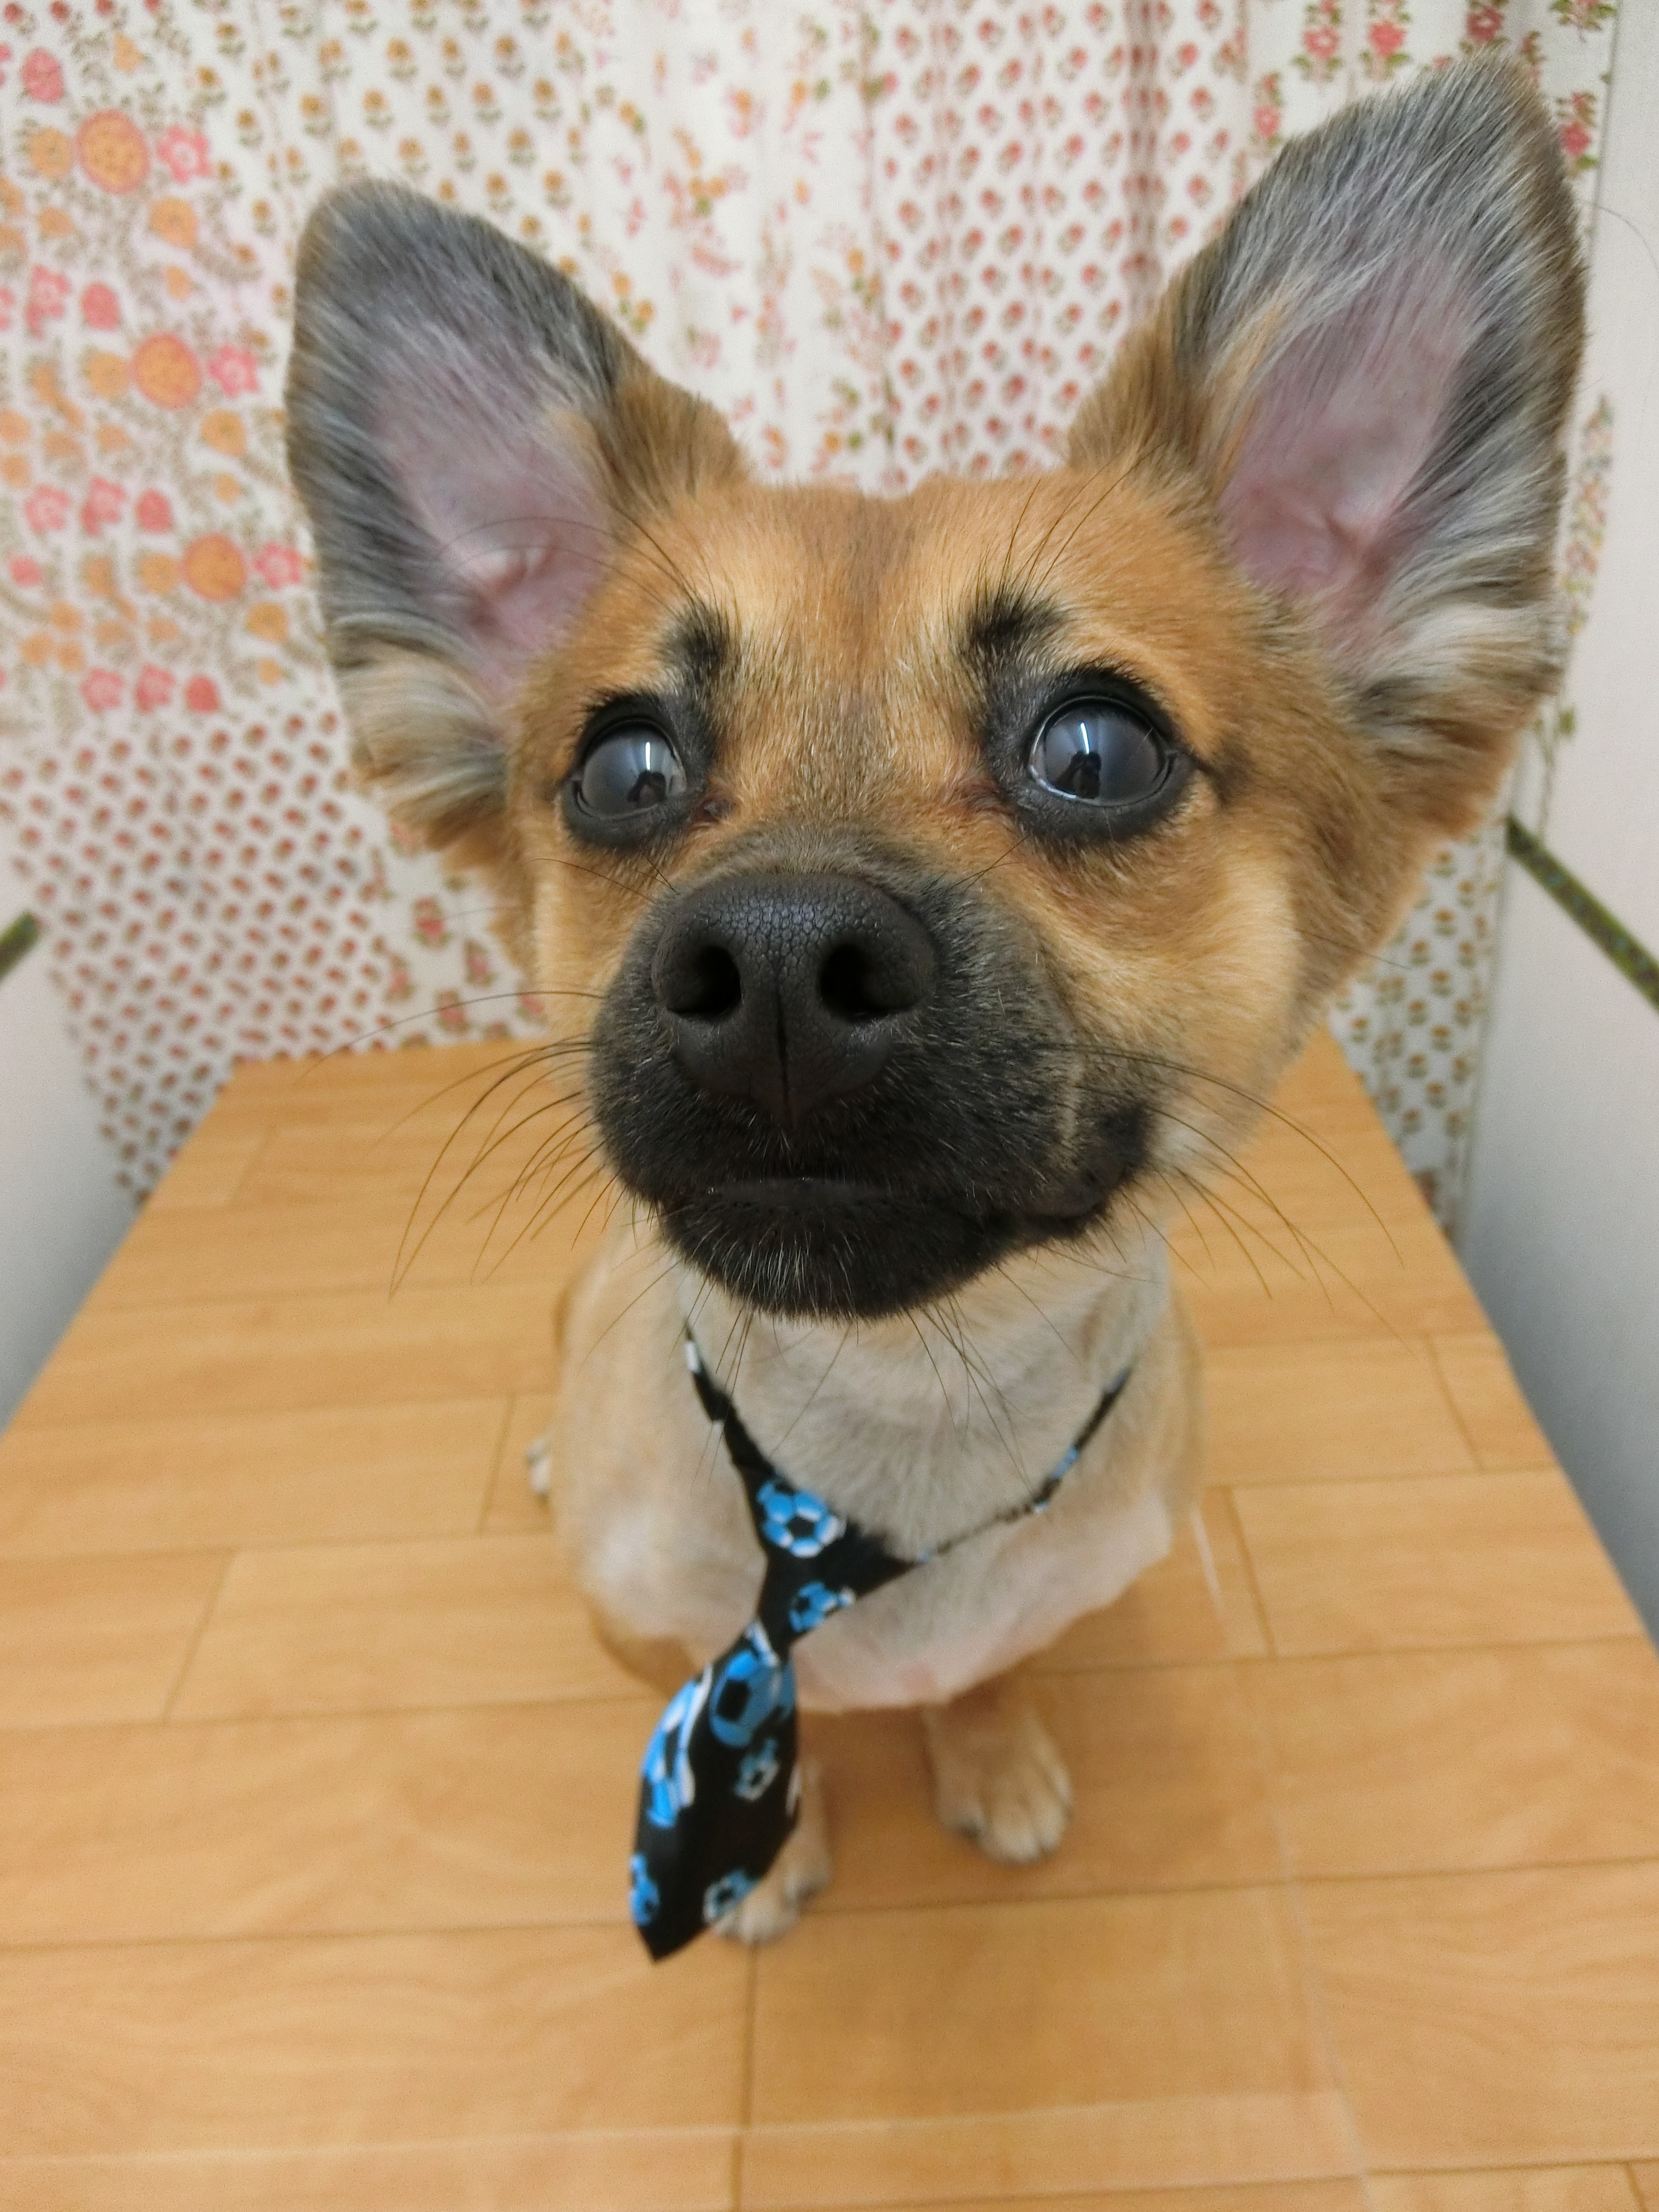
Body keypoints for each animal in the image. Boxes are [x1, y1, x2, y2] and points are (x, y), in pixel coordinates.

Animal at [286, 55, 1583, 1952]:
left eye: (1095, 750)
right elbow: (744, 1706)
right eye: (623, 769)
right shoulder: (658, 1624)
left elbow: (989, 1670)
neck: (892, 1447)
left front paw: (991, 1756)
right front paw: (774, 1853)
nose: (773, 962)